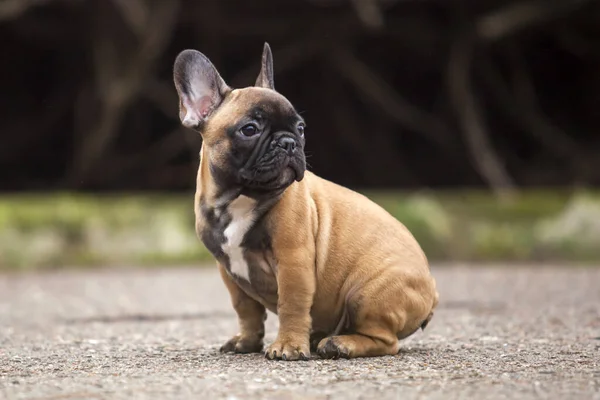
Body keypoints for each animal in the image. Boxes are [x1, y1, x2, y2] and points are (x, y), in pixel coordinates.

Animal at [171, 43, 438, 360]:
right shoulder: (228, 269)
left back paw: (340, 344)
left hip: (366, 294)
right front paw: (246, 341)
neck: (241, 199)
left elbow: (292, 305)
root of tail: (432, 291)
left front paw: (288, 346)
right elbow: (246, 309)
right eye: (249, 129)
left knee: (386, 341)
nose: (289, 142)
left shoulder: (293, 260)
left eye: (300, 128)